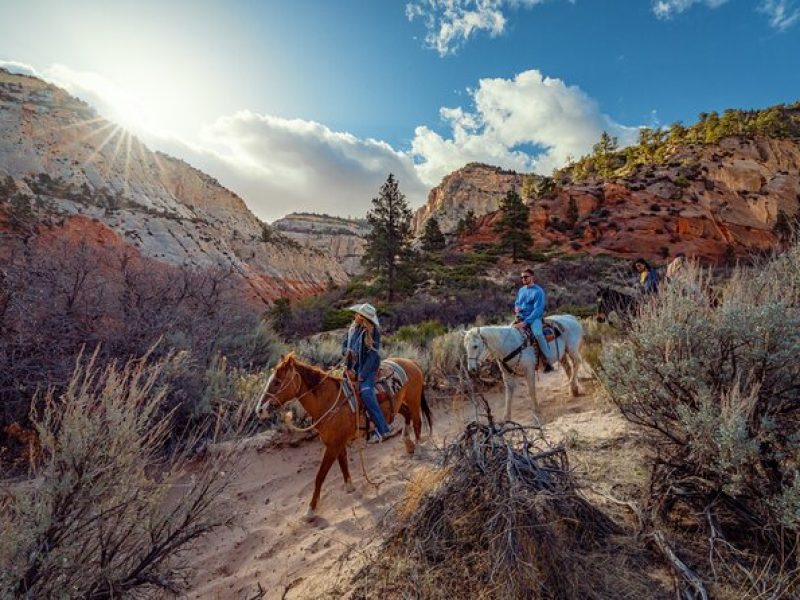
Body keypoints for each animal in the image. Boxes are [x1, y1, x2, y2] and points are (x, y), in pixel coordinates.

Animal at [255, 352, 432, 520]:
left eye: (277, 382)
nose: (259, 410)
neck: (329, 400)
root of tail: (411, 362)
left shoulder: (333, 446)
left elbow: (320, 476)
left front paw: (310, 510)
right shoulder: (337, 443)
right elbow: (343, 463)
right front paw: (349, 486)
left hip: (413, 399)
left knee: (417, 422)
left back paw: (418, 450)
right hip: (398, 404)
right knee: (407, 415)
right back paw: (408, 443)